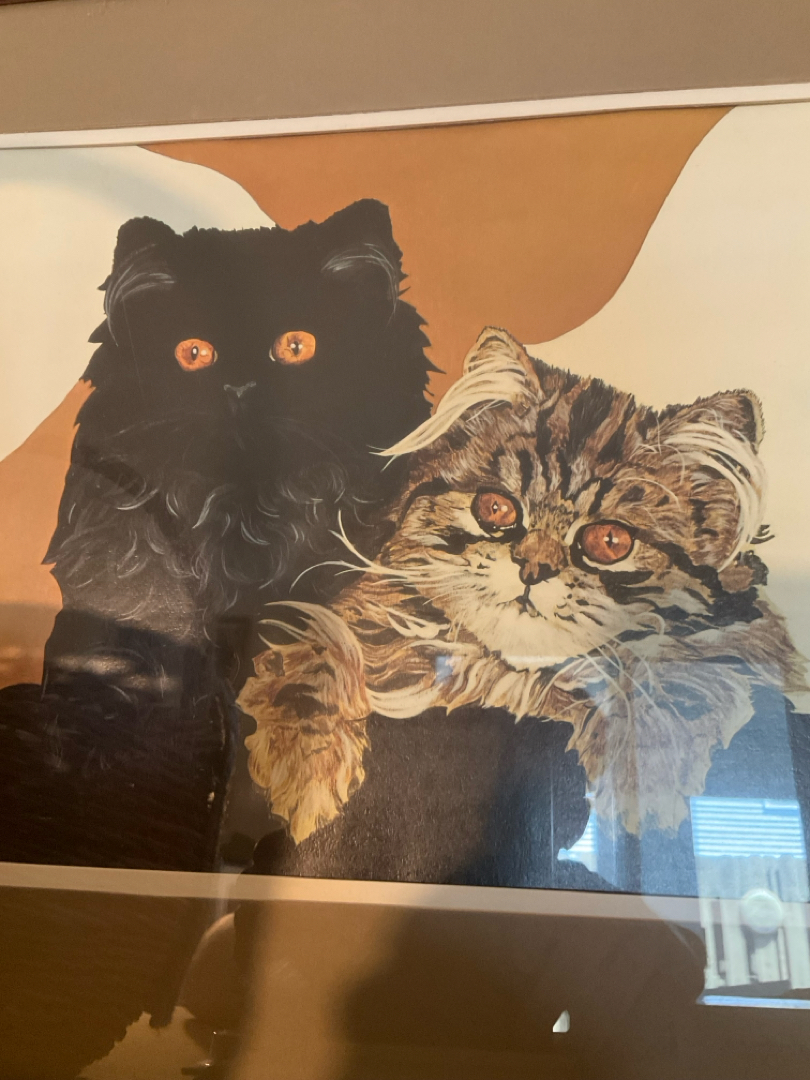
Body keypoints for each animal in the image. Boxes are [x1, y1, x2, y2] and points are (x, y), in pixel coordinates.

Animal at [238, 326, 808, 846]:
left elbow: (674, 689)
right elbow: (310, 671)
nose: (532, 567)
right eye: (496, 509)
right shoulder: (341, 625)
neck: (511, 680)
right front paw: (303, 787)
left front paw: (642, 800)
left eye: (609, 541)